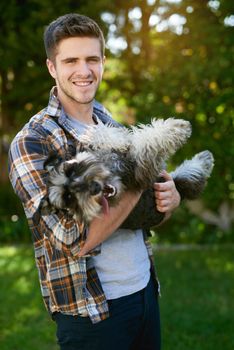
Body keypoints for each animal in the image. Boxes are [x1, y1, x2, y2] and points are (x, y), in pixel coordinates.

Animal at [40, 117, 214, 227]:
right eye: (68, 197)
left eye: (71, 171)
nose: (93, 188)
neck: (113, 171)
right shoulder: (142, 170)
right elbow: (149, 141)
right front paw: (178, 127)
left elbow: (103, 134)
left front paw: (110, 138)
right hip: (177, 181)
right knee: (192, 177)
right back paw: (205, 158)